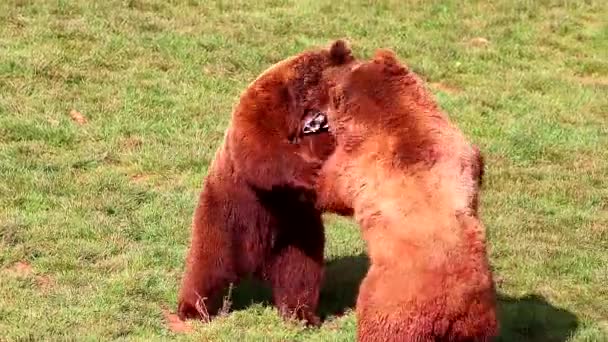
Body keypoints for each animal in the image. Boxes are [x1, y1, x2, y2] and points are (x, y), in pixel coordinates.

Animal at [176, 40, 356, 326]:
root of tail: (254, 263)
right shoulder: (270, 102)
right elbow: (261, 146)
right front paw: (310, 170)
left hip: (294, 232)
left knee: (300, 272)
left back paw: (301, 314)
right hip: (228, 217)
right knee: (206, 264)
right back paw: (193, 308)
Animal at [316, 49, 496, 340]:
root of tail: (450, 314)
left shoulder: (355, 160)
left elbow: (331, 188)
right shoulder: (454, 143)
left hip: (390, 306)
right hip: (479, 317)